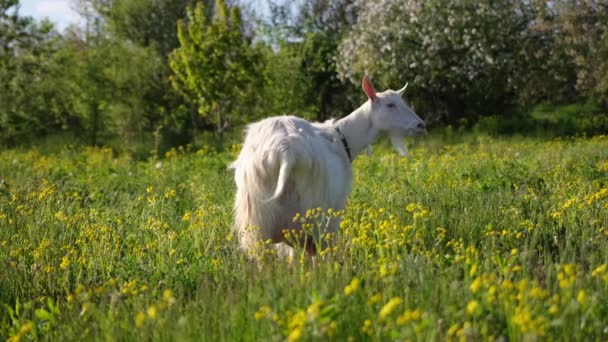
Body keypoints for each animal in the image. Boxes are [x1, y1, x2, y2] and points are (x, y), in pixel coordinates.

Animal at [230, 75, 426, 256]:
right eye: (390, 105)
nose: (420, 125)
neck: (343, 138)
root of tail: (286, 150)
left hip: (259, 219)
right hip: (313, 215)